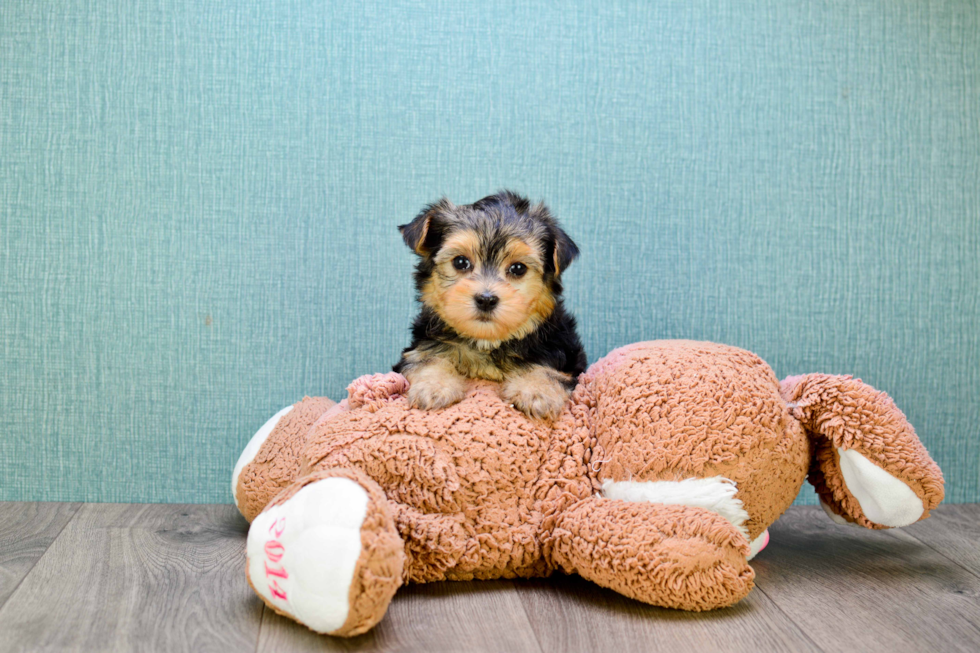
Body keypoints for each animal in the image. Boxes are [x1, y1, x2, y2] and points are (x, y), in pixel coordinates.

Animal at [394, 191, 584, 420]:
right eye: (460, 262)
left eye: (518, 268)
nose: (486, 299)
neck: (487, 341)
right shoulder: (421, 346)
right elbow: (426, 358)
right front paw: (434, 387)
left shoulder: (562, 351)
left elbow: (548, 369)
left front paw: (536, 392)